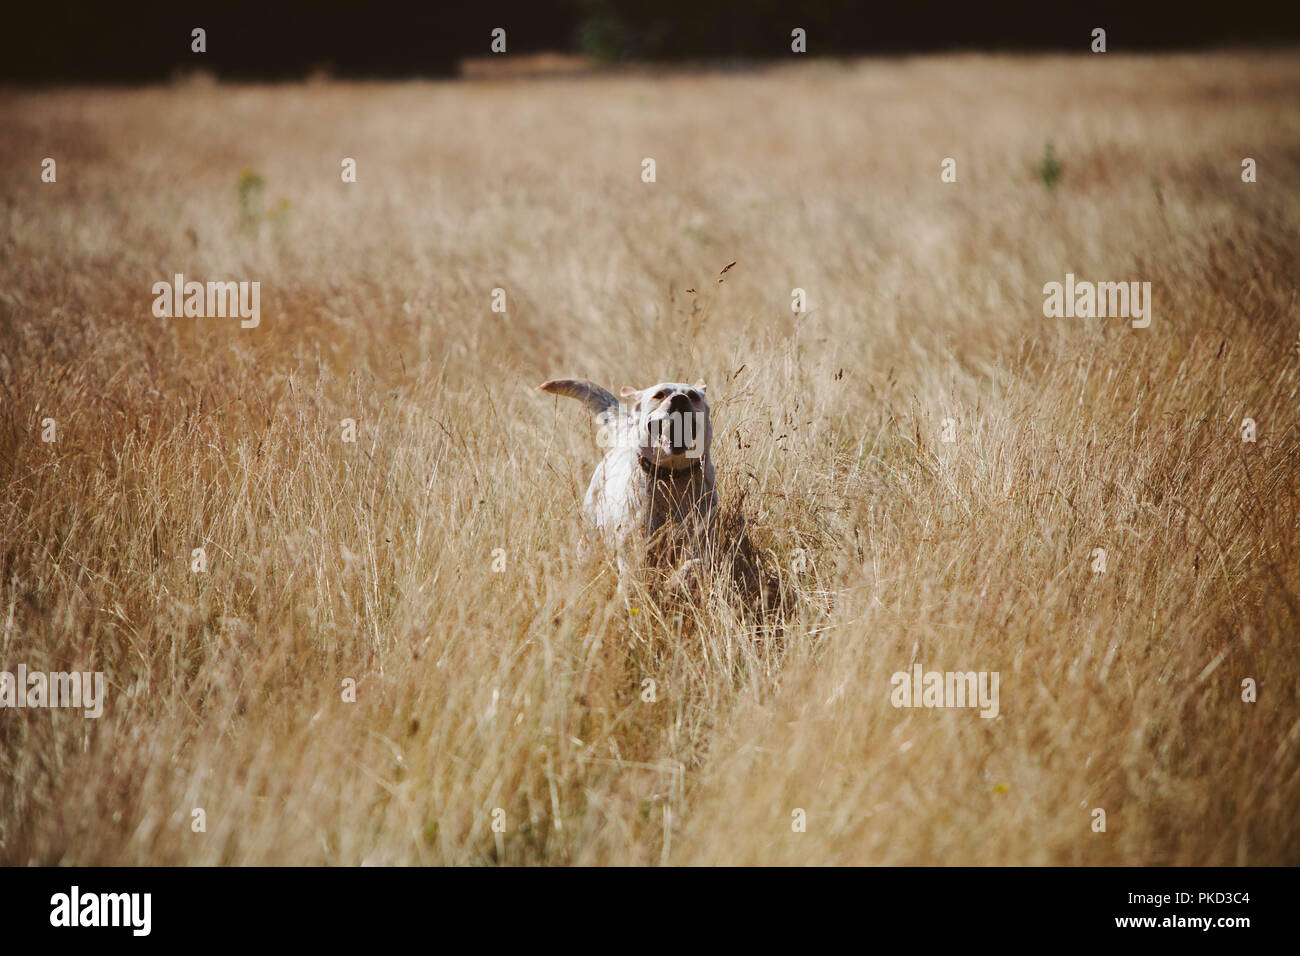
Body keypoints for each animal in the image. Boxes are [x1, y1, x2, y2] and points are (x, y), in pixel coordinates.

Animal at [538, 377, 722, 587]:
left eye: (692, 395)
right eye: (659, 394)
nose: (680, 400)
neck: (671, 479)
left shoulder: (700, 539)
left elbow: (693, 563)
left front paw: (675, 580)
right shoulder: (634, 547)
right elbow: (632, 577)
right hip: (590, 538)